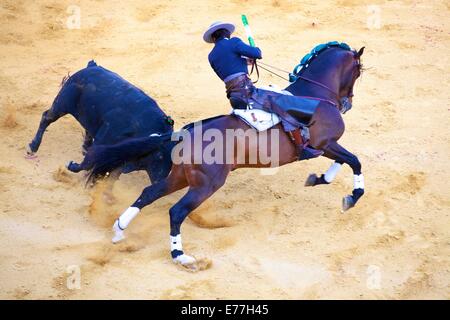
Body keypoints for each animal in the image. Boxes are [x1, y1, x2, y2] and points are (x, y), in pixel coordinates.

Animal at [27, 61, 173, 184]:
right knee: (46, 118)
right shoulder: (104, 140)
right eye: (160, 157)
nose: (160, 181)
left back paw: (84, 148)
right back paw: (33, 147)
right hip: (62, 104)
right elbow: (89, 162)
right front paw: (72, 165)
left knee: (87, 130)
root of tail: (91, 66)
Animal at [80, 45, 366, 268]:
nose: (348, 103)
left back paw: (119, 230)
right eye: (359, 70)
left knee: (148, 194)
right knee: (176, 211)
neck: (316, 95)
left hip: (180, 177)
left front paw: (320, 178)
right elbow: (354, 161)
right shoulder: (326, 143)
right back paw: (182, 257)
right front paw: (350, 196)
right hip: (207, 184)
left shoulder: (328, 145)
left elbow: (344, 160)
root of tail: (184, 134)